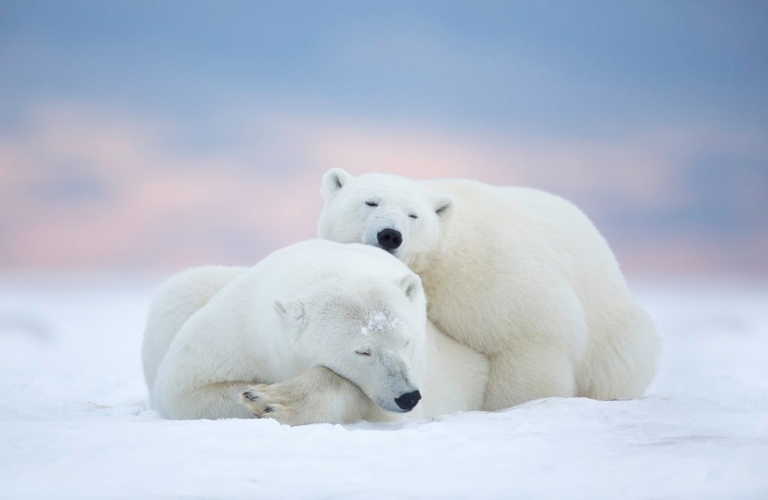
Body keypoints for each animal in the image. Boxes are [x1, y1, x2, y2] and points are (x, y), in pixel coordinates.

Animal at [142, 238, 488, 422]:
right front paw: (257, 396)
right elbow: (184, 389)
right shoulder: (239, 330)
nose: (408, 396)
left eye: (406, 342)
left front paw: (273, 400)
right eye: (363, 351)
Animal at [316, 170, 660, 412]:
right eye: (370, 201)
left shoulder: (490, 274)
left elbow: (531, 336)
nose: (390, 235)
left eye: (414, 215)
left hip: (615, 332)